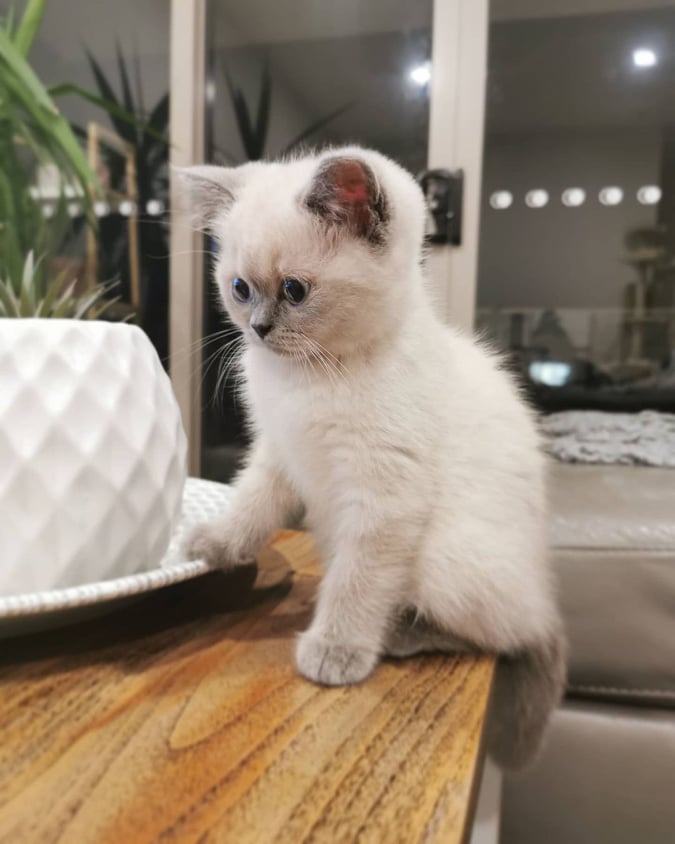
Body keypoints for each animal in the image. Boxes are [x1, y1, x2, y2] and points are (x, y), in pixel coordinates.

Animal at [179, 146, 567, 769]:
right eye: (239, 288)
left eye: (294, 291)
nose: (258, 329)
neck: (310, 377)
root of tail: (544, 592)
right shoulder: (280, 454)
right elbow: (250, 506)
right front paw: (215, 543)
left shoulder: (385, 497)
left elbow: (356, 581)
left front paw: (336, 650)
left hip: (447, 560)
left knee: (505, 635)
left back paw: (402, 632)